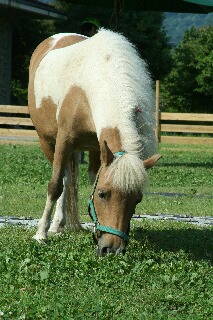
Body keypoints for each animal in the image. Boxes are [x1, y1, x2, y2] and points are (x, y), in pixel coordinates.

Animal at [28, 28, 161, 256]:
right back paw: (53, 227)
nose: (112, 249)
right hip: (48, 142)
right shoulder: (64, 141)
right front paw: (40, 234)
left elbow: (92, 178)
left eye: (137, 199)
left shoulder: (98, 148)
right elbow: (55, 186)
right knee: (63, 181)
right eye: (102, 194)